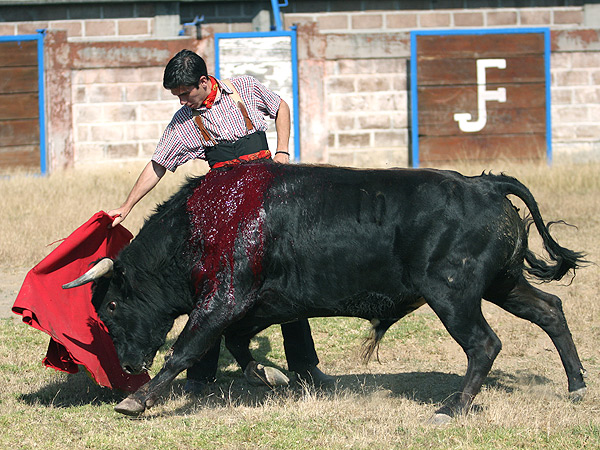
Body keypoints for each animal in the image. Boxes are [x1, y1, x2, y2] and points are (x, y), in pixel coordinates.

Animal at [64, 162, 587, 421]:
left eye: (112, 304)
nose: (129, 364)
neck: (204, 223)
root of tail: (485, 184)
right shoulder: (259, 305)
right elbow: (236, 342)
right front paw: (269, 375)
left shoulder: (224, 297)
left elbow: (188, 347)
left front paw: (137, 400)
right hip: (503, 283)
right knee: (550, 310)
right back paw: (577, 387)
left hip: (453, 294)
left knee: (484, 343)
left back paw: (452, 408)